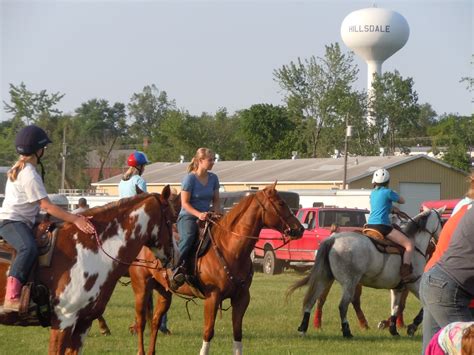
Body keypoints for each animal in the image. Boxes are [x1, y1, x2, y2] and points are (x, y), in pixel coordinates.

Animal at [130, 184, 304, 355]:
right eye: (281, 203)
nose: (300, 229)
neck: (230, 249)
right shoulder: (212, 297)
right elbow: (208, 332)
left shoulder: (241, 298)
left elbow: (237, 334)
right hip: (141, 288)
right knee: (141, 322)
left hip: (164, 292)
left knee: (155, 321)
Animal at [288, 209, 444, 340]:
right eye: (442, 221)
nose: (439, 242)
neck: (415, 243)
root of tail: (333, 239)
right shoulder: (414, 283)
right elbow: (422, 307)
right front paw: (411, 327)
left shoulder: (398, 287)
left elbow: (395, 308)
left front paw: (393, 330)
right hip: (350, 283)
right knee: (342, 305)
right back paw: (347, 332)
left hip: (324, 278)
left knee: (311, 300)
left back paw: (303, 328)